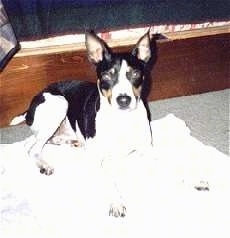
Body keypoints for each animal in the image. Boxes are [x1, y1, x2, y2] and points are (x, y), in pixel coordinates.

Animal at [10, 30, 155, 218]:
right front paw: (116, 202)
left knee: (40, 140)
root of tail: (30, 108)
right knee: (32, 147)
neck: (121, 119)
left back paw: (71, 142)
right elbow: (108, 180)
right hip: (59, 103)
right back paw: (45, 165)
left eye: (135, 74)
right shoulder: (96, 158)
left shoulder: (147, 149)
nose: (123, 100)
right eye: (107, 75)